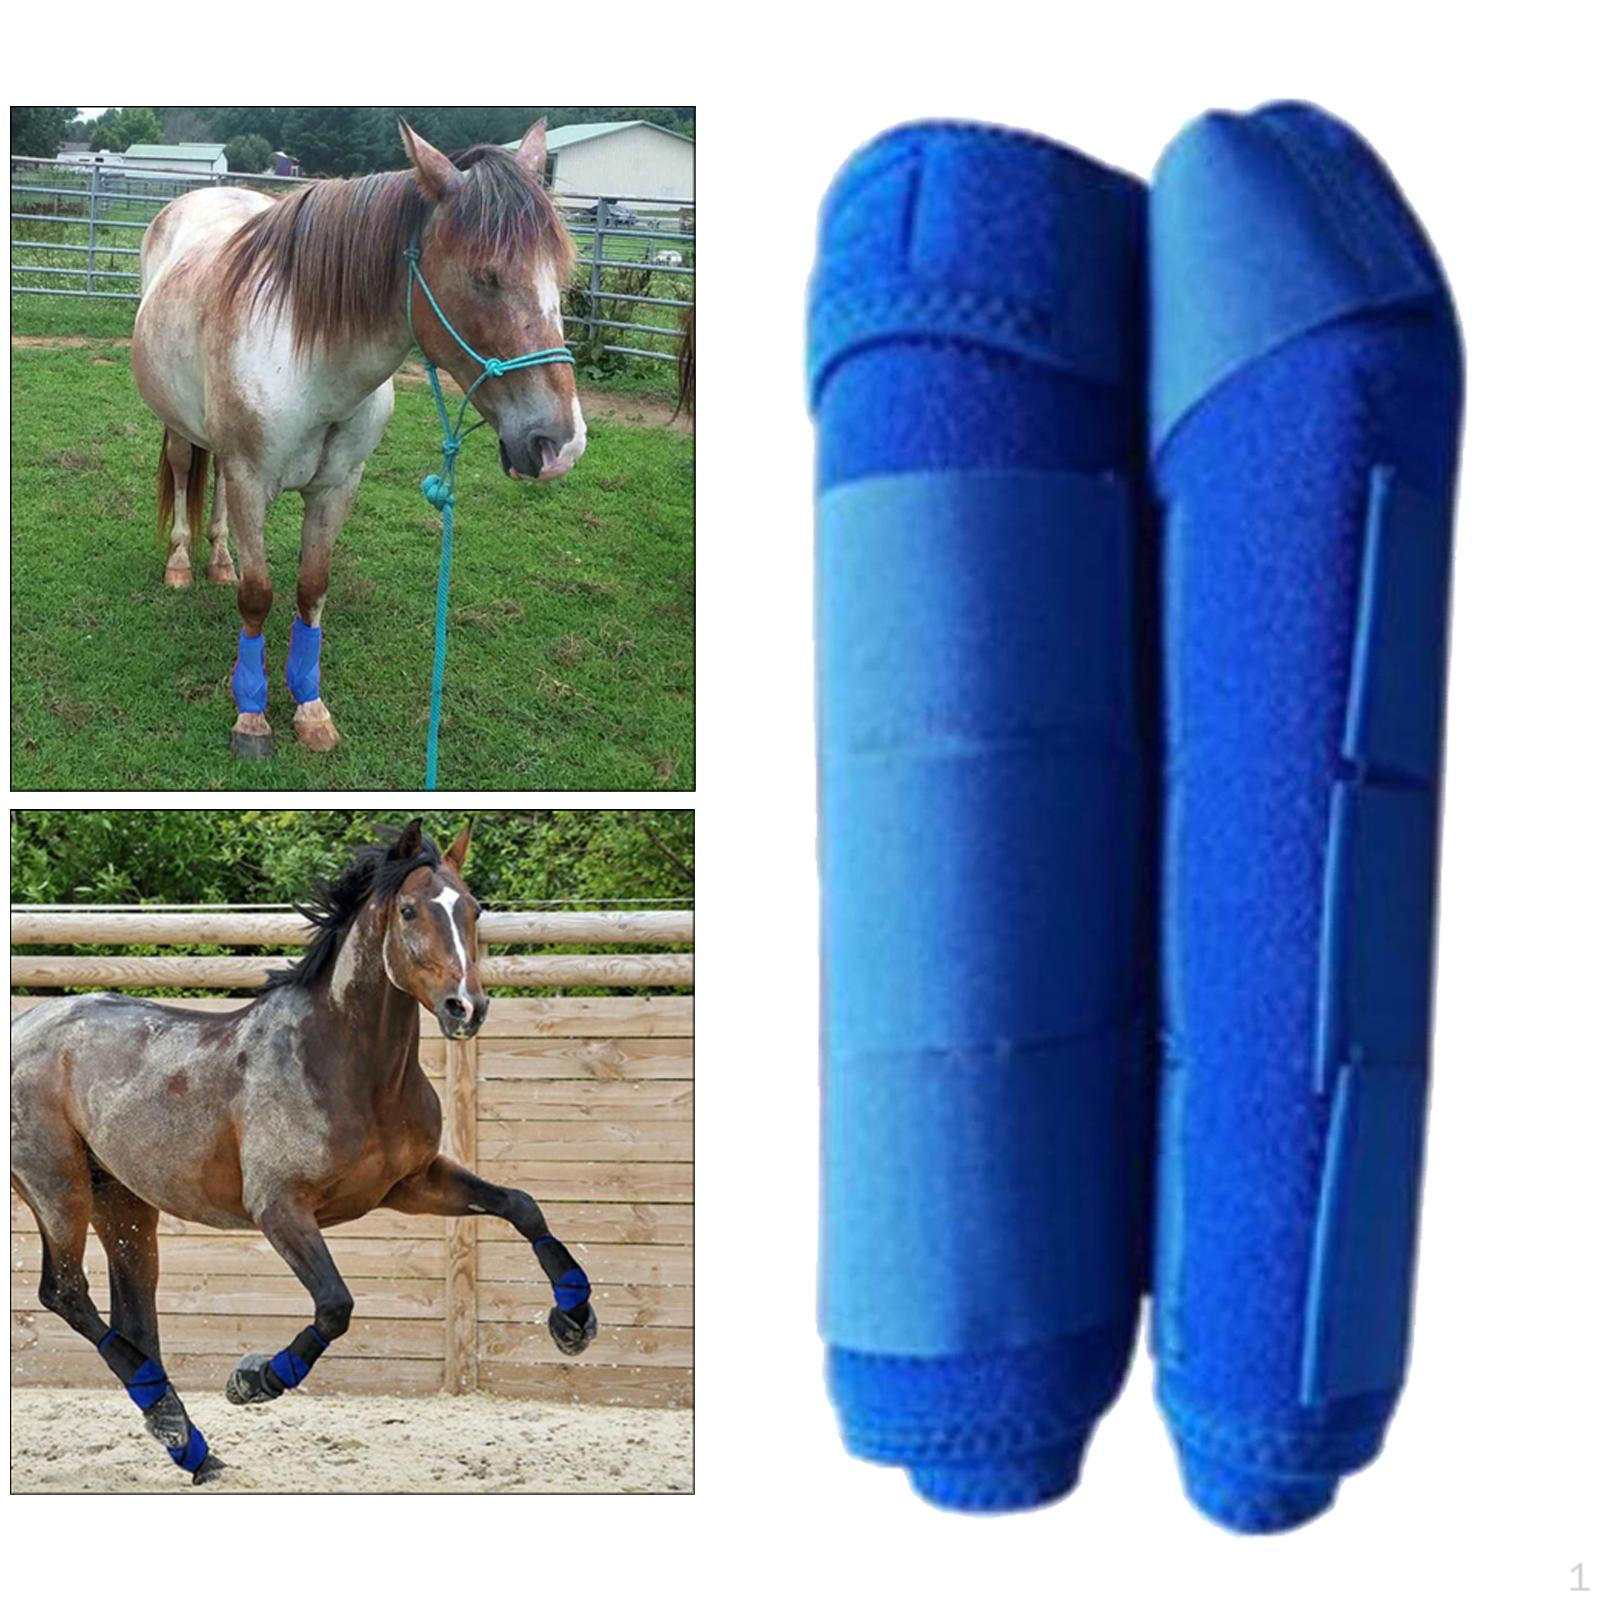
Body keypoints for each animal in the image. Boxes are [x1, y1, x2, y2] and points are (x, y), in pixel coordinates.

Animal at [10, 821, 598, 1485]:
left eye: (473, 910)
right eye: (410, 910)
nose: (466, 1009)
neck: (350, 1068)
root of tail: (26, 1026)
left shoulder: (414, 1183)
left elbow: (521, 1206)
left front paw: (574, 1323)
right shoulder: (280, 1209)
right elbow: (336, 1304)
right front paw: (254, 1380)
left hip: (125, 1200)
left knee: (134, 1313)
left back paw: (188, 1443)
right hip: (59, 1187)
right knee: (65, 1293)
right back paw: (180, 1427)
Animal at [130, 120, 586, 760]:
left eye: (559, 277)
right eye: (485, 276)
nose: (560, 444)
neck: (310, 361)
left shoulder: (338, 486)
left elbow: (311, 588)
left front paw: (310, 709)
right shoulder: (251, 479)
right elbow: (258, 595)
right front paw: (252, 717)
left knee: (213, 482)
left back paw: (218, 561)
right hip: (176, 422)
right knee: (179, 468)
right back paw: (180, 564)